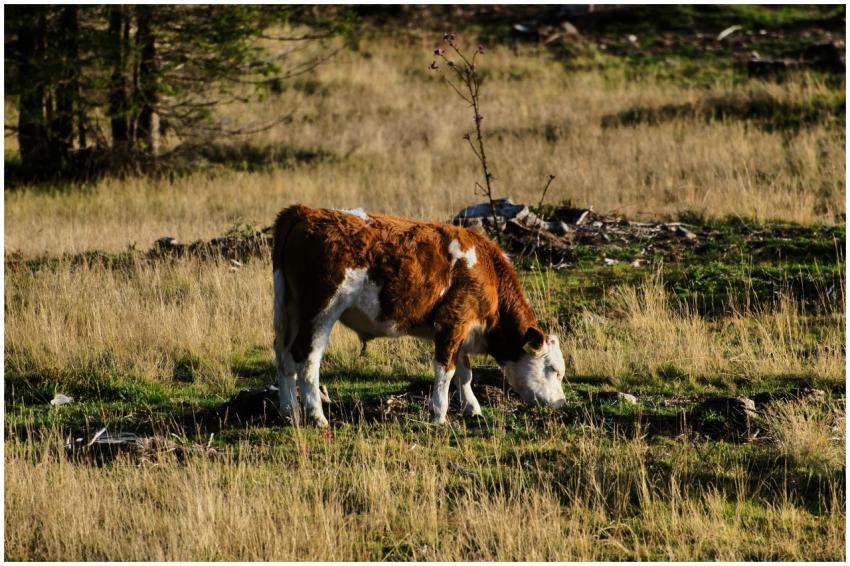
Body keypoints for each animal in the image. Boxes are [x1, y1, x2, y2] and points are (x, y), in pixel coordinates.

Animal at [272, 204, 567, 426]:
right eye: (554, 370)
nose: (562, 403)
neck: (487, 270)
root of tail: (304, 212)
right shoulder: (453, 322)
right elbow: (446, 370)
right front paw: (439, 414)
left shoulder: (460, 330)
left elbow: (464, 372)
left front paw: (472, 408)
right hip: (321, 310)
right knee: (307, 358)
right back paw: (317, 416)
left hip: (288, 309)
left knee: (283, 356)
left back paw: (289, 411)